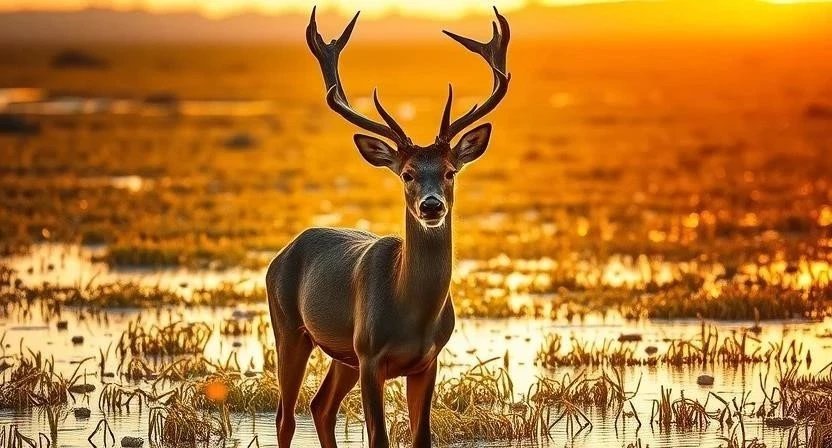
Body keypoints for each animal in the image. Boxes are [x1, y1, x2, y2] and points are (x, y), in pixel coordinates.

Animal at [265, 7, 510, 448]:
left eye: (450, 172)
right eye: (407, 174)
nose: (431, 205)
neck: (410, 312)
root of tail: (284, 251)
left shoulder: (428, 361)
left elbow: (421, 436)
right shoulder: (370, 355)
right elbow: (379, 437)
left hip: (342, 353)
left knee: (320, 407)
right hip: (290, 327)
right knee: (285, 416)